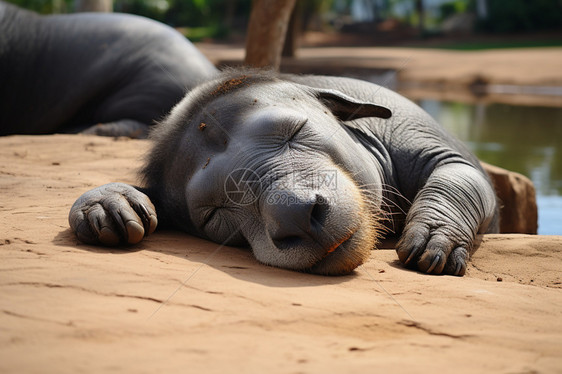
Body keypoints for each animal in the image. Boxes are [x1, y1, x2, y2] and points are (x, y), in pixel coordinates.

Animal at [69, 69, 494, 274]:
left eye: (296, 131)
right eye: (215, 214)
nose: (296, 217)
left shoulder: (411, 129)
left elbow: (462, 175)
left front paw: (435, 236)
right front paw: (108, 203)